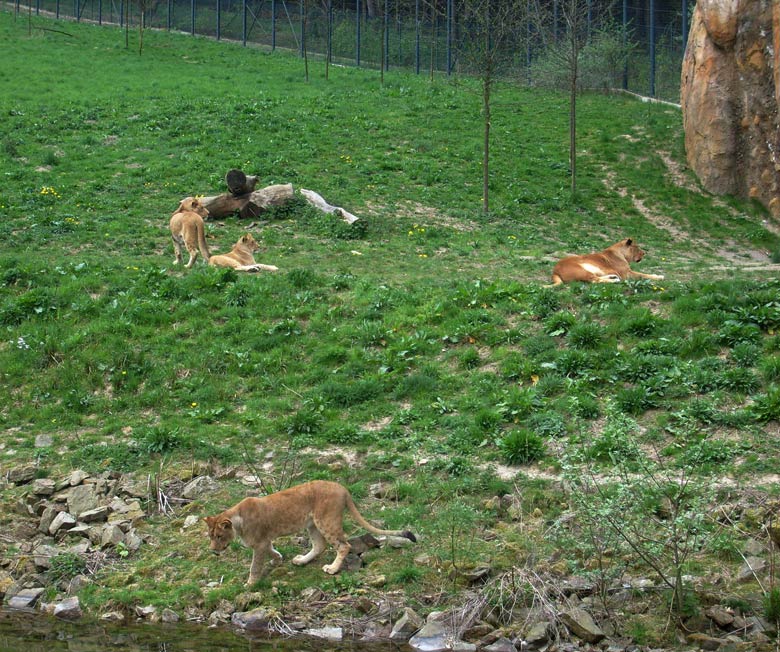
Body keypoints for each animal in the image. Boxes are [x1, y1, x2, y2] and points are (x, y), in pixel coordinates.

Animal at [204, 478, 418, 584]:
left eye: (219, 536)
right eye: (211, 536)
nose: (212, 550)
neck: (237, 522)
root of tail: (343, 488)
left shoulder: (259, 543)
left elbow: (255, 566)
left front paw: (250, 584)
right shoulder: (265, 541)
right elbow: (272, 550)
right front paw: (277, 560)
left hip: (326, 521)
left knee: (343, 545)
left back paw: (332, 569)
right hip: (312, 524)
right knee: (320, 545)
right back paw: (301, 561)